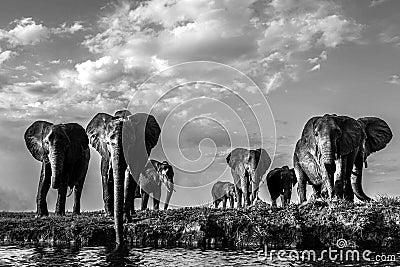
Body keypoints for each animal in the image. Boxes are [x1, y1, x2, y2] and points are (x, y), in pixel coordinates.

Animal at [86, 110, 161, 247]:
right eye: (108, 143)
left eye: (130, 144)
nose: (119, 243)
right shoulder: (105, 153)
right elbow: (106, 175)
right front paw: (110, 215)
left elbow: (130, 176)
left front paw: (127, 219)